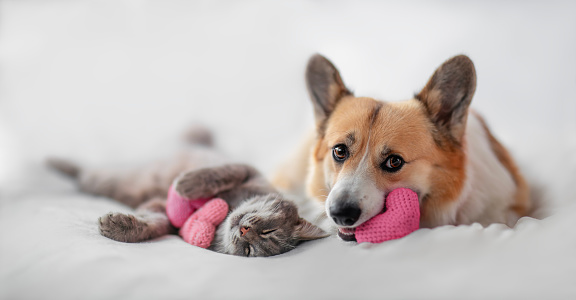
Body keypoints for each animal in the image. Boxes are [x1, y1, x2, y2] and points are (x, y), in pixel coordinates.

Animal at [47, 132, 326, 256]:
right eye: (269, 230)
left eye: (249, 250)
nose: (244, 231)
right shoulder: (246, 169)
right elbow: (221, 173)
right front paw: (187, 184)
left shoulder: (166, 216)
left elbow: (154, 224)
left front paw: (121, 226)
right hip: (111, 178)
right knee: (83, 172)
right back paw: (56, 163)